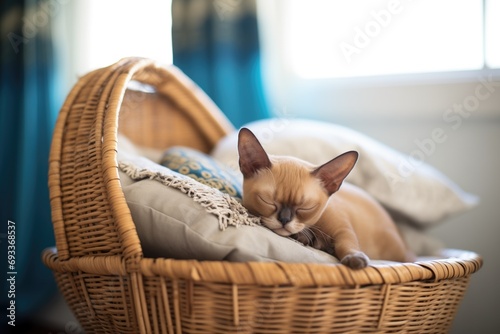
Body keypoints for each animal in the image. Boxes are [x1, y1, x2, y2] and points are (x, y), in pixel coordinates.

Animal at [238, 127, 414, 268]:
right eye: (268, 201)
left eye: (306, 207)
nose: (284, 219)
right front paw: (307, 238)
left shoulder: (343, 231)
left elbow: (346, 245)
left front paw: (354, 259)